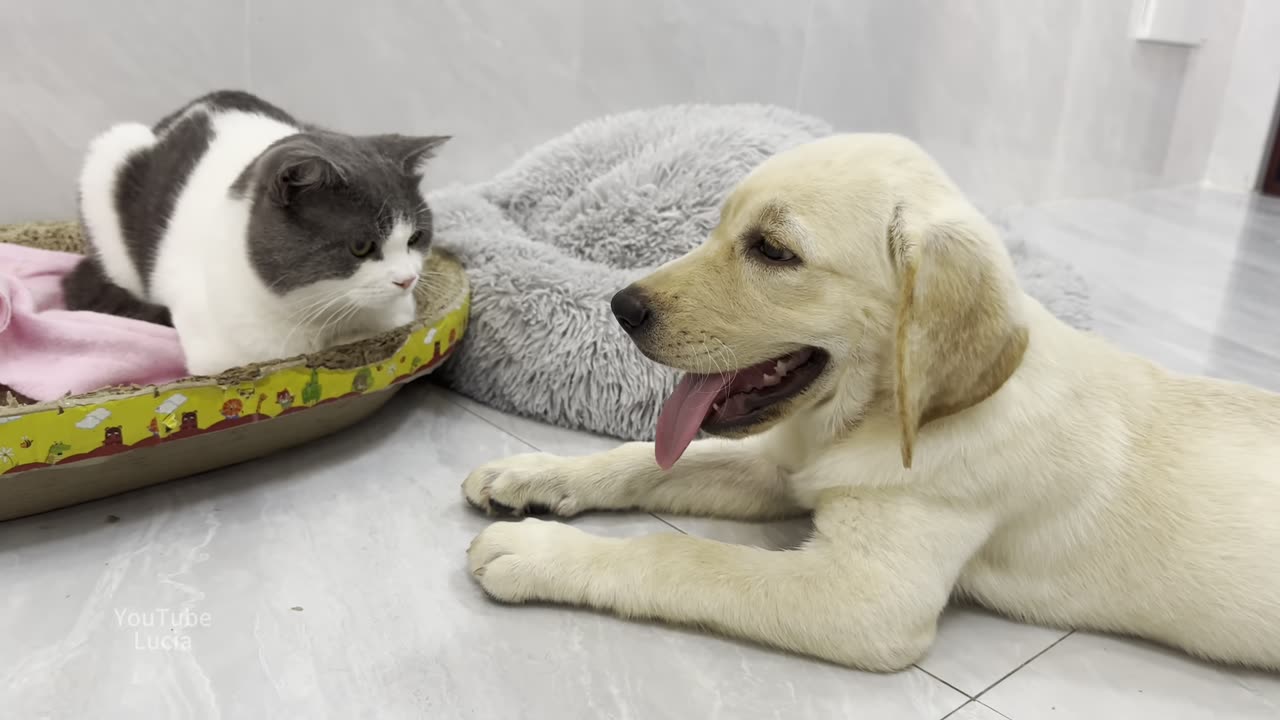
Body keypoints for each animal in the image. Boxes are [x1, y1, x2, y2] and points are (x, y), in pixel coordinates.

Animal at [63, 89, 450, 376]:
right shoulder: (220, 355)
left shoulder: (396, 317)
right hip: (109, 159)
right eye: (360, 246)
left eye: (415, 237)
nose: (407, 280)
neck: (320, 320)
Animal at [463, 131, 1280, 671]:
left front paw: (537, 552)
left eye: (773, 251)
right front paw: (535, 474)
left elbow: (682, 556)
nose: (621, 307)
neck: (873, 419)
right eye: (718, 226)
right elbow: (646, 458)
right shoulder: (786, 470)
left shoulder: (867, 596)